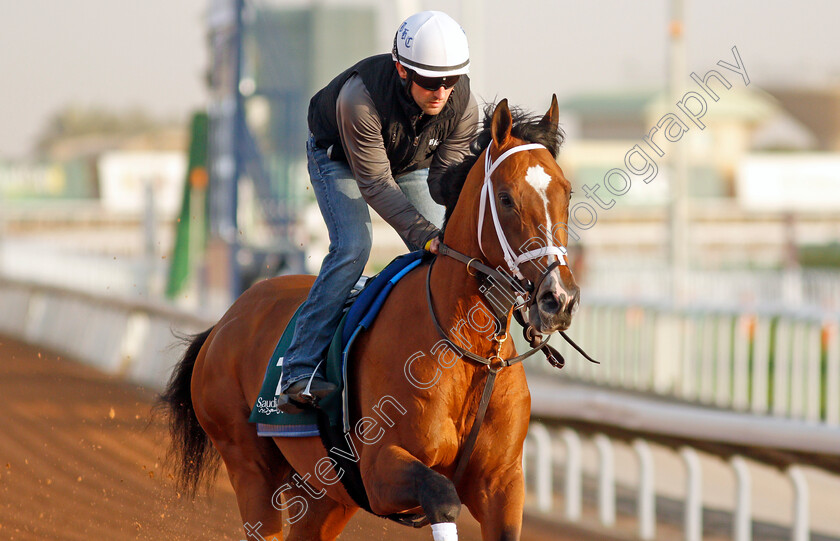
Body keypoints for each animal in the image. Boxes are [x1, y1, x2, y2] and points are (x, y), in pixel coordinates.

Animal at [159, 97, 576, 540]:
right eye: (506, 198)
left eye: (566, 192)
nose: (559, 298)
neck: (470, 351)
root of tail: (224, 321)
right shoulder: (379, 470)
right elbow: (442, 496)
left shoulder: (502, 484)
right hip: (248, 463)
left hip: (324, 494)